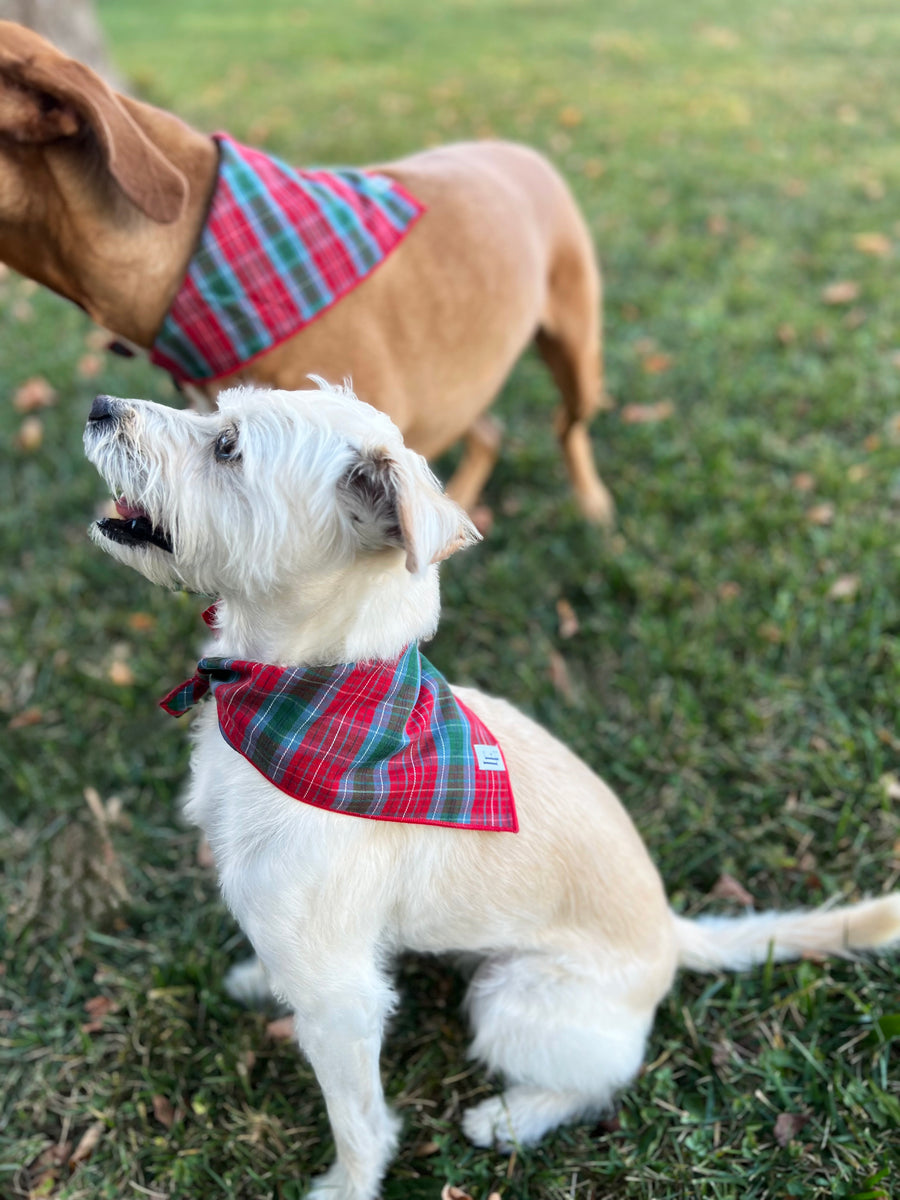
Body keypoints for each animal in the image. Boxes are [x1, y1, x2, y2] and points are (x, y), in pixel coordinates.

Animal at [86, 384, 900, 1200]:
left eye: (229, 446)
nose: (98, 405)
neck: (299, 699)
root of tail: (672, 935)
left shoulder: (339, 1000)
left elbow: (358, 1120)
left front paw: (349, 1184)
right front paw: (257, 978)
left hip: (509, 999)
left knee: (600, 1082)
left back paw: (513, 1116)